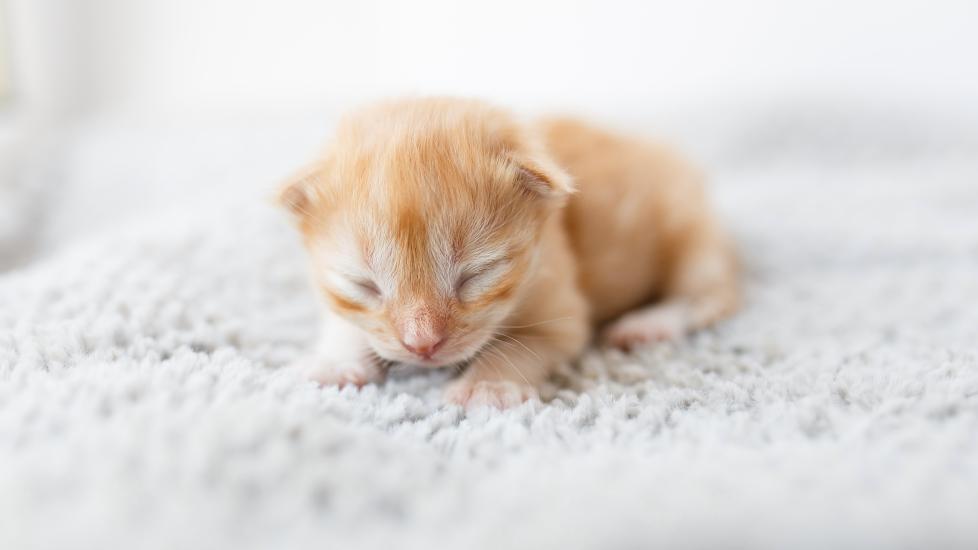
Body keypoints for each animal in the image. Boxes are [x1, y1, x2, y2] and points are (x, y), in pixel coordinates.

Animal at [278, 98, 736, 410]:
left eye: (476, 275)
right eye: (363, 284)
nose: (423, 346)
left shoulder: (563, 315)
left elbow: (518, 347)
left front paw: (487, 386)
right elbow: (346, 323)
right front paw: (334, 362)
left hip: (692, 232)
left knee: (712, 296)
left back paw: (648, 323)